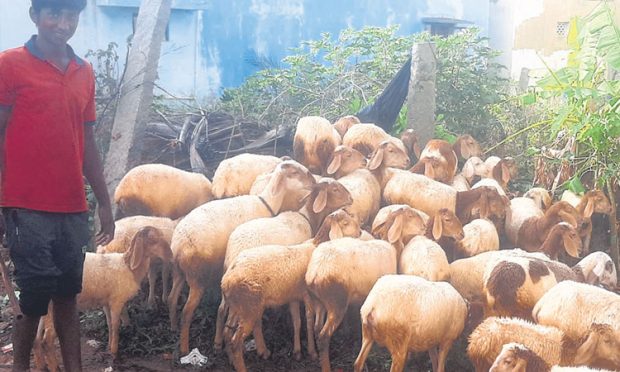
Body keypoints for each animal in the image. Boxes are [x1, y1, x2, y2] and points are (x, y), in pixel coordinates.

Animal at [167, 161, 318, 354]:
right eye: (296, 172)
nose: (314, 182)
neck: (265, 202)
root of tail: (178, 244)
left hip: (179, 272)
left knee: (172, 298)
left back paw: (174, 327)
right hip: (196, 276)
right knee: (187, 311)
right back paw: (185, 347)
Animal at [306, 238, 398, 372]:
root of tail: (315, 271)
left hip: (319, 301)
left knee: (317, 328)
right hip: (336, 302)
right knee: (323, 336)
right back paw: (327, 367)